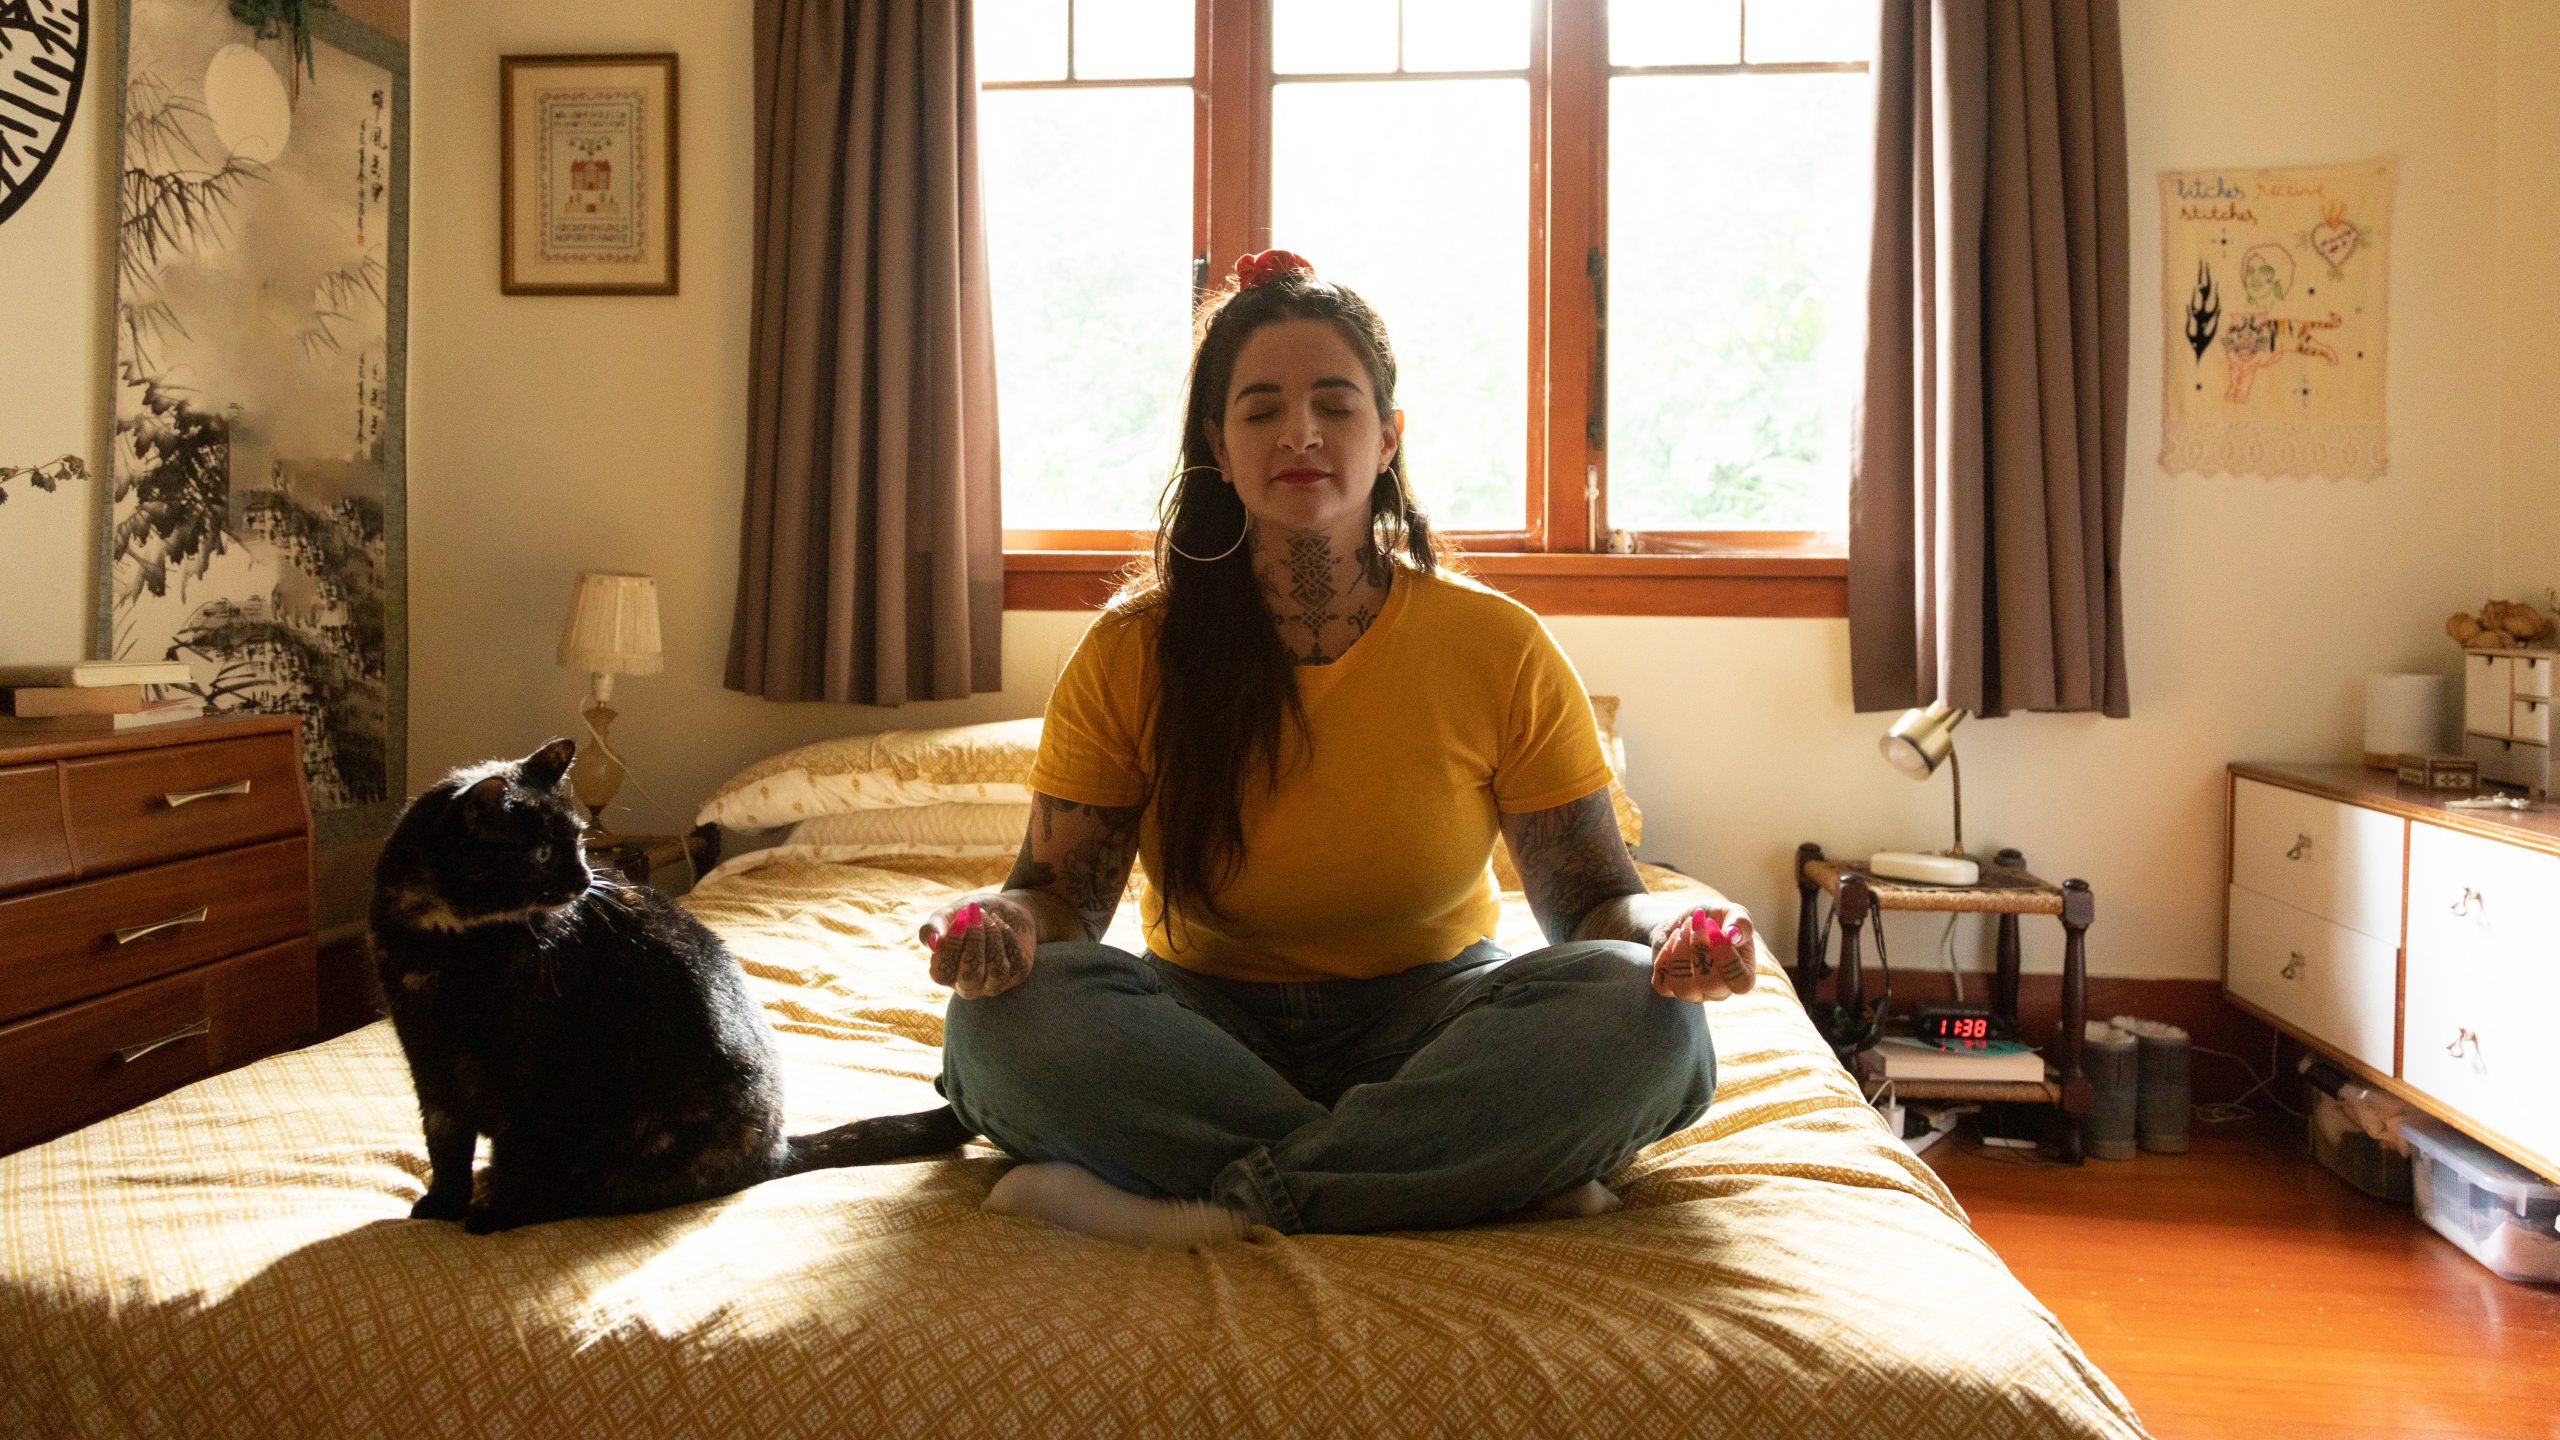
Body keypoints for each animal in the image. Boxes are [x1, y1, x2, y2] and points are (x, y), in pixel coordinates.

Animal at [373, 732, 977, 1229]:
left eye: (580, 842)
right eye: (542, 852)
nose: (586, 879)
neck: (444, 941)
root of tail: (778, 1149)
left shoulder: (528, 1075)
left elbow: (515, 1153)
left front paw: (495, 1213)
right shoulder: (427, 1057)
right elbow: (444, 1142)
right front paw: (441, 1206)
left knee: (599, 1193)